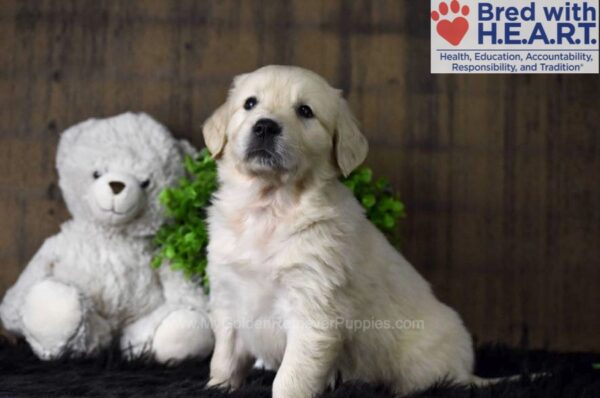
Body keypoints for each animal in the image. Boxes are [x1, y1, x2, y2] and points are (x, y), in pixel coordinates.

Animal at [204, 66, 480, 398]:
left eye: (305, 111)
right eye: (249, 103)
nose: (265, 126)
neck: (270, 205)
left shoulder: (313, 306)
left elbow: (291, 376)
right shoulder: (228, 296)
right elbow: (224, 357)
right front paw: (218, 386)